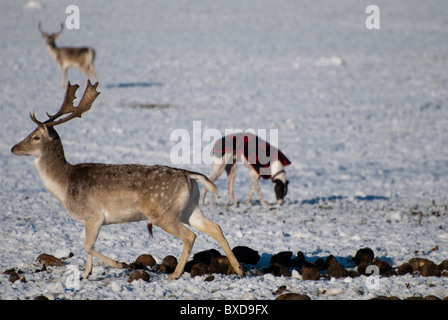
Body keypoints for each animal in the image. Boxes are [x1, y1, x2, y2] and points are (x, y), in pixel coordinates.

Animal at [10, 82, 242, 280]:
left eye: (35, 137)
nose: (14, 148)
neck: (64, 185)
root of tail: (189, 175)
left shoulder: (94, 216)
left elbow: (86, 246)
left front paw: (118, 264)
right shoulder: (88, 220)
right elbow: (87, 248)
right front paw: (85, 275)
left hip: (162, 212)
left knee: (190, 235)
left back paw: (174, 275)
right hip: (188, 209)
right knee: (215, 227)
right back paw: (239, 269)